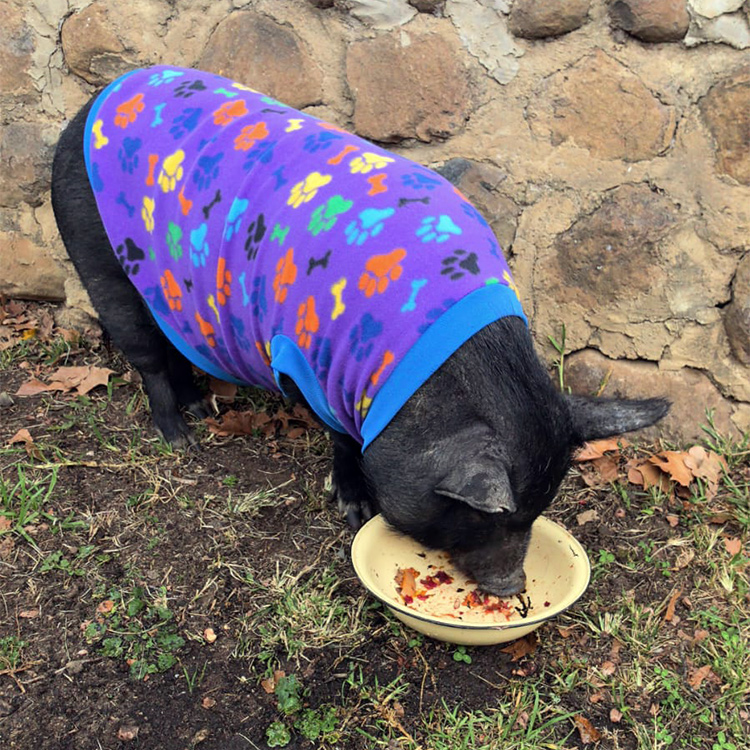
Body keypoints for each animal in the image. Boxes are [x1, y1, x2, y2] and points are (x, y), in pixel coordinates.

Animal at [51, 66, 669, 597]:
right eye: (483, 514)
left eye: (541, 510)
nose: (512, 587)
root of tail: (89, 105)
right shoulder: (309, 366)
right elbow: (344, 440)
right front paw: (354, 512)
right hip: (99, 260)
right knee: (147, 355)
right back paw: (181, 438)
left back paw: (203, 410)